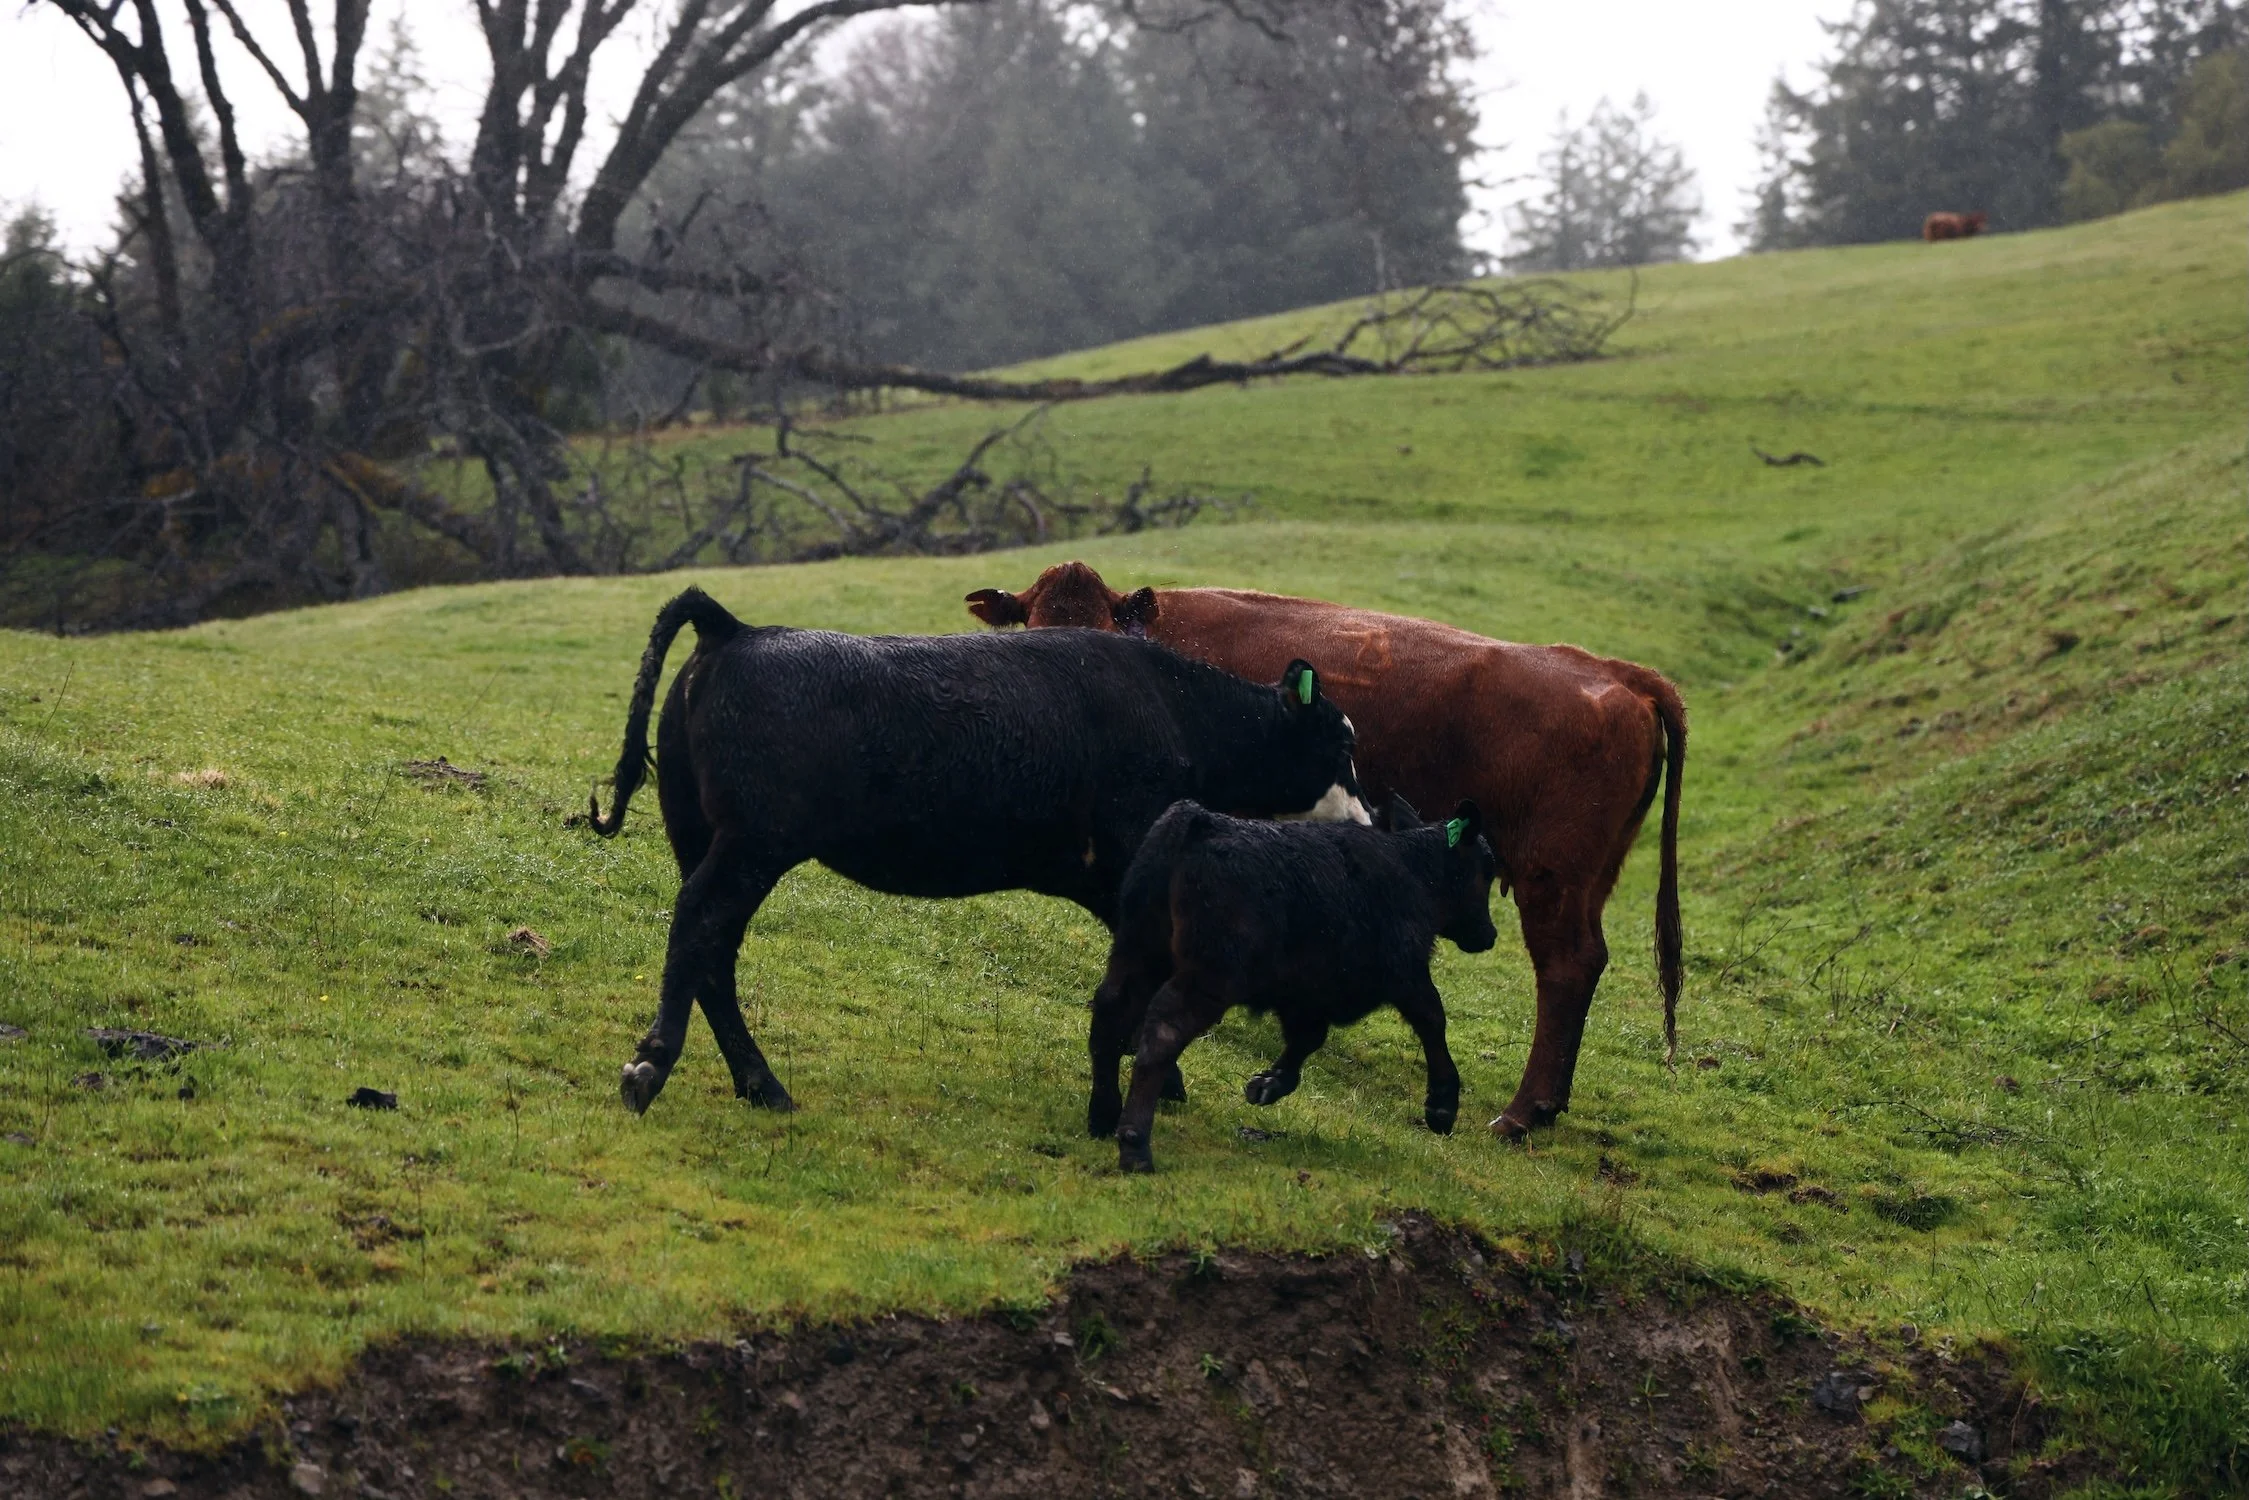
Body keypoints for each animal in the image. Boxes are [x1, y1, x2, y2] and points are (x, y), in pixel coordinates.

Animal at [588, 587, 1368, 1116]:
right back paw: (654, 1066)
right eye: (1344, 746)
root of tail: (737, 630)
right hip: (750, 845)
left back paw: (759, 1084)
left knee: (711, 956)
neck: (1178, 710)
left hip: (703, 837)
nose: (1368, 821)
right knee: (698, 929)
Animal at [1090, 795, 1501, 1172]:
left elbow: (1307, 1040)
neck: (1414, 873)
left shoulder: (1305, 995)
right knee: (1161, 1033)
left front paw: (1269, 1084)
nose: (1490, 934)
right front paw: (1442, 1106)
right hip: (1208, 975)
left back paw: (1103, 1114)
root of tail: (1201, 822)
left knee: (1110, 1013)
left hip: (1138, 949)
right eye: (1487, 871)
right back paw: (1135, 1147)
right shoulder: (1406, 972)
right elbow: (1433, 1021)